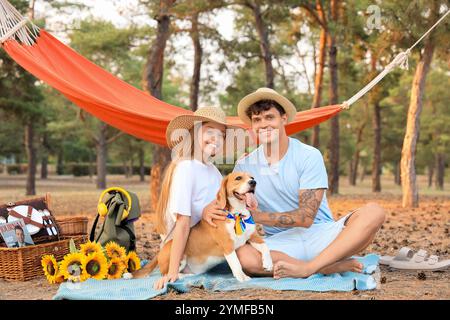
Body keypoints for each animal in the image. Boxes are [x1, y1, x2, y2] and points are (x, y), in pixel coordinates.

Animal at [134, 172, 272, 282]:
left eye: (252, 177)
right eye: (238, 178)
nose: (253, 182)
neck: (237, 214)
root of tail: (160, 250)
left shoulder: (254, 237)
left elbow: (265, 247)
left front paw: (268, 263)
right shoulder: (227, 245)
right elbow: (236, 263)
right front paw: (242, 277)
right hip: (179, 257)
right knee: (165, 274)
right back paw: (181, 276)